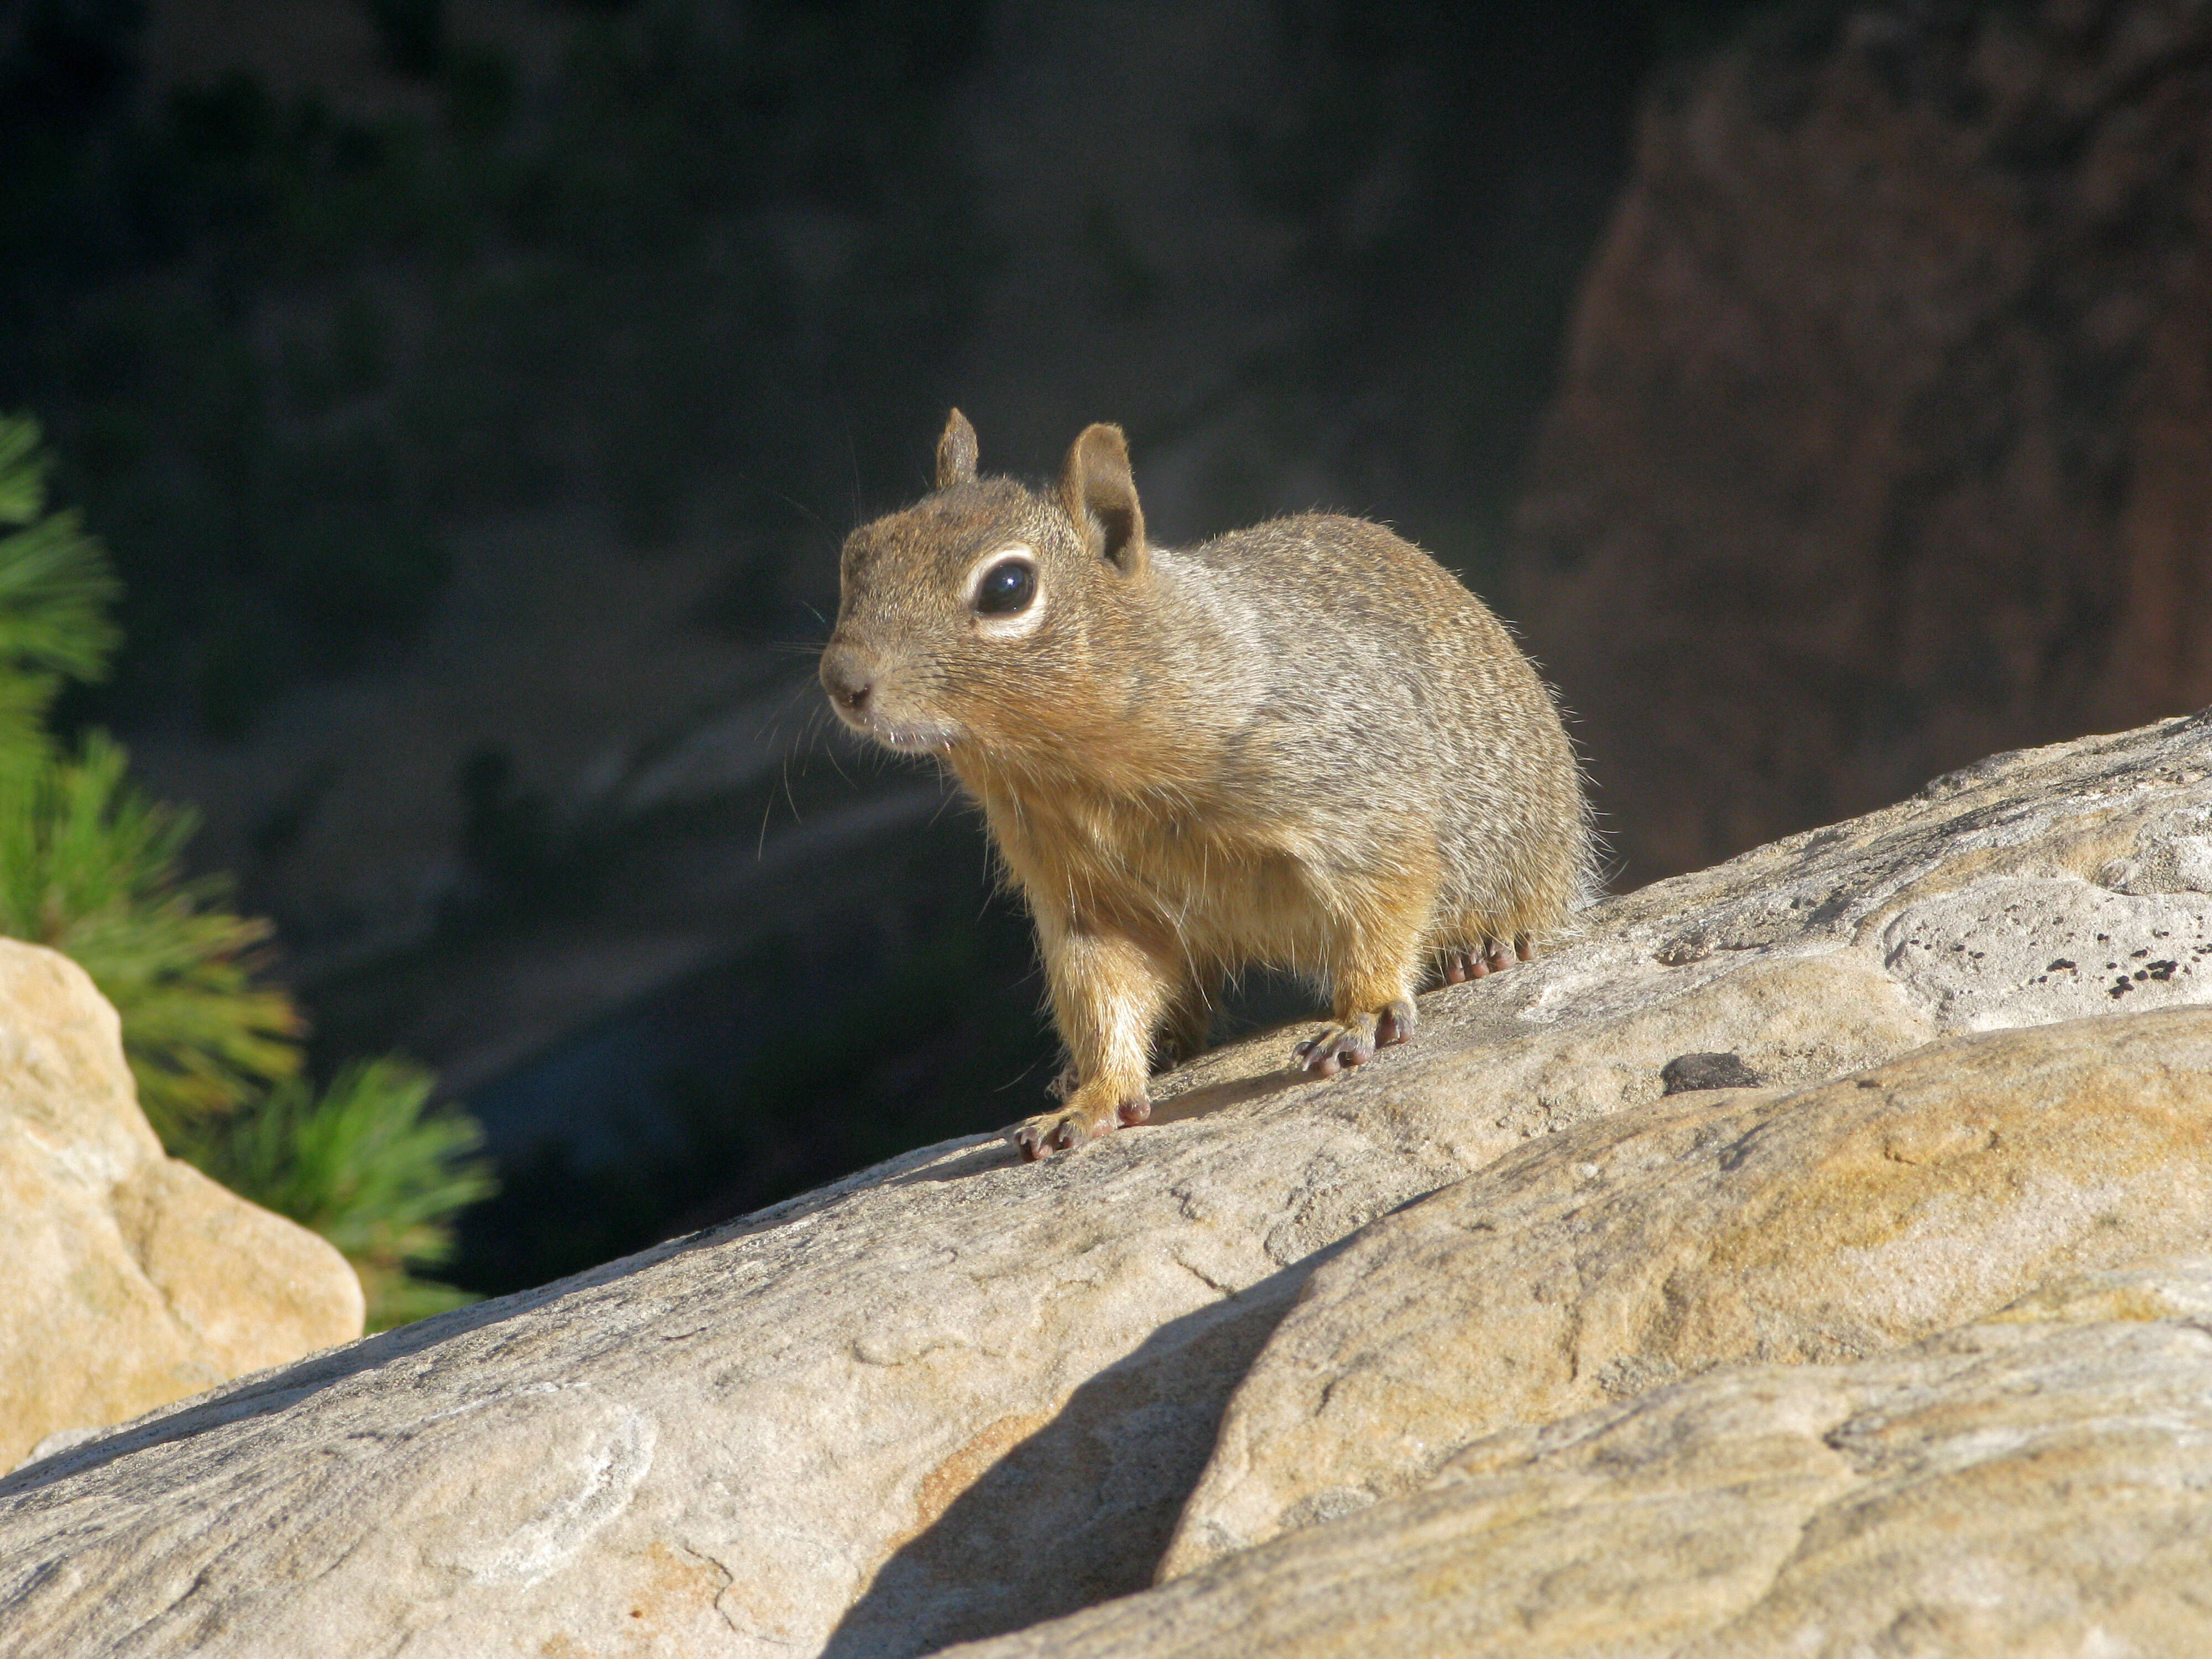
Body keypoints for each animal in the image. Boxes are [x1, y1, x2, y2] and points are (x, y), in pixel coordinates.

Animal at [818, 414, 1593, 1159]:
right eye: (856, 552)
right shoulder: (1086, 901)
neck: (1070, 770)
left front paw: (1364, 1014)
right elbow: (1100, 997)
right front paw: (1093, 1099)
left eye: (1007, 588)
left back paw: (1487, 945)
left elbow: (1384, 901)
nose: (842, 681)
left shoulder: (1354, 799)